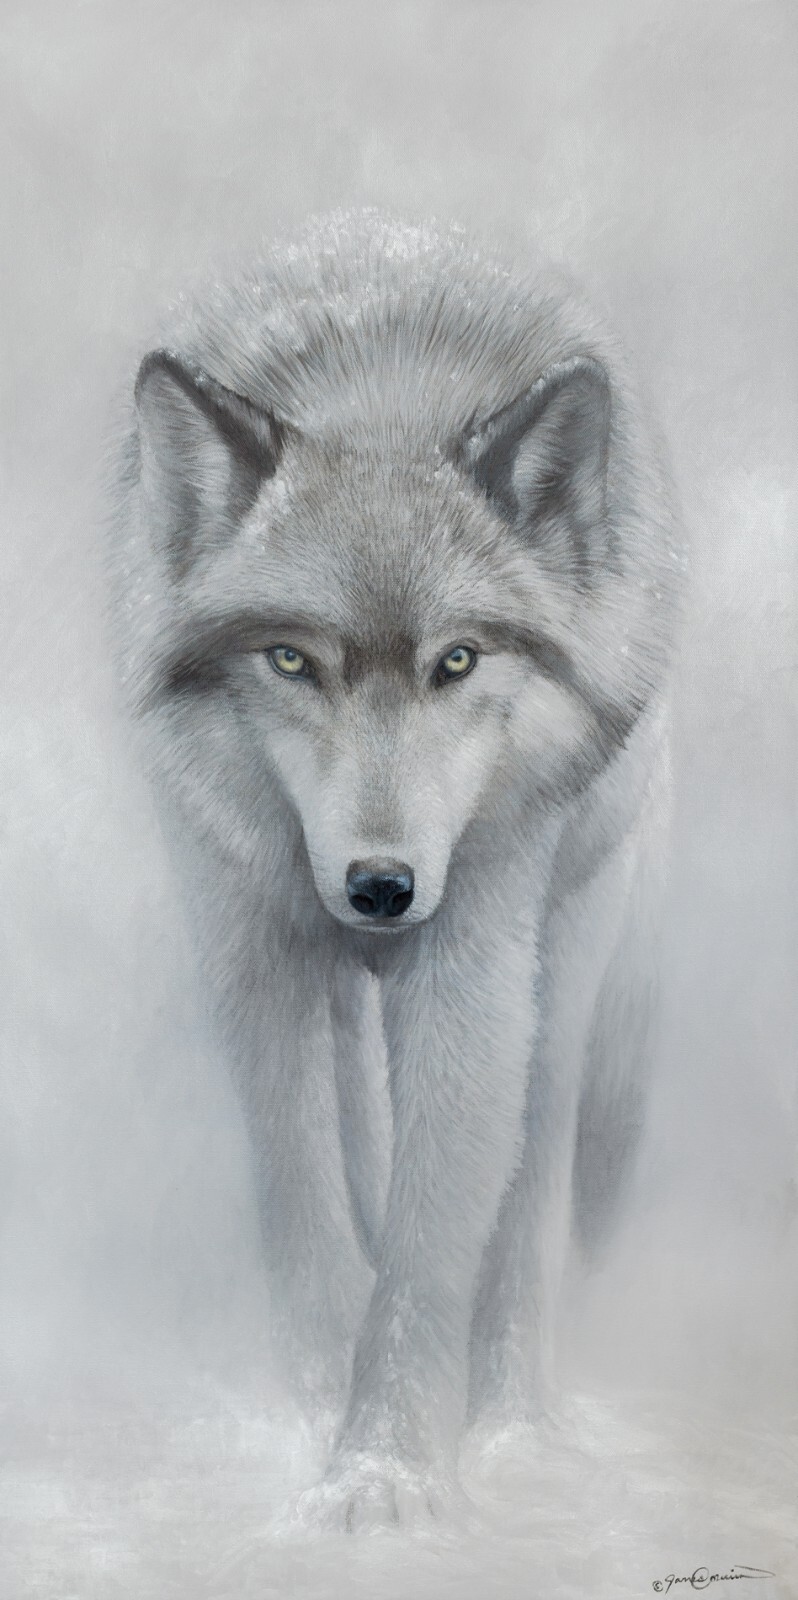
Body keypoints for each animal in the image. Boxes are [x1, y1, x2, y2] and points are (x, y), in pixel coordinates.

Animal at [111, 211, 682, 1530]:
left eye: (457, 660)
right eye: (290, 659)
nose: (381, 887)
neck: (380, 393)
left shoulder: (476, 949)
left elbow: (434, 1237)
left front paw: (387, 1473)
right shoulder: (247, 935)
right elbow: (305, 1197)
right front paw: (320, 1416)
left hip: (565, 955)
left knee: (527, 1196)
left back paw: (517, 1432)